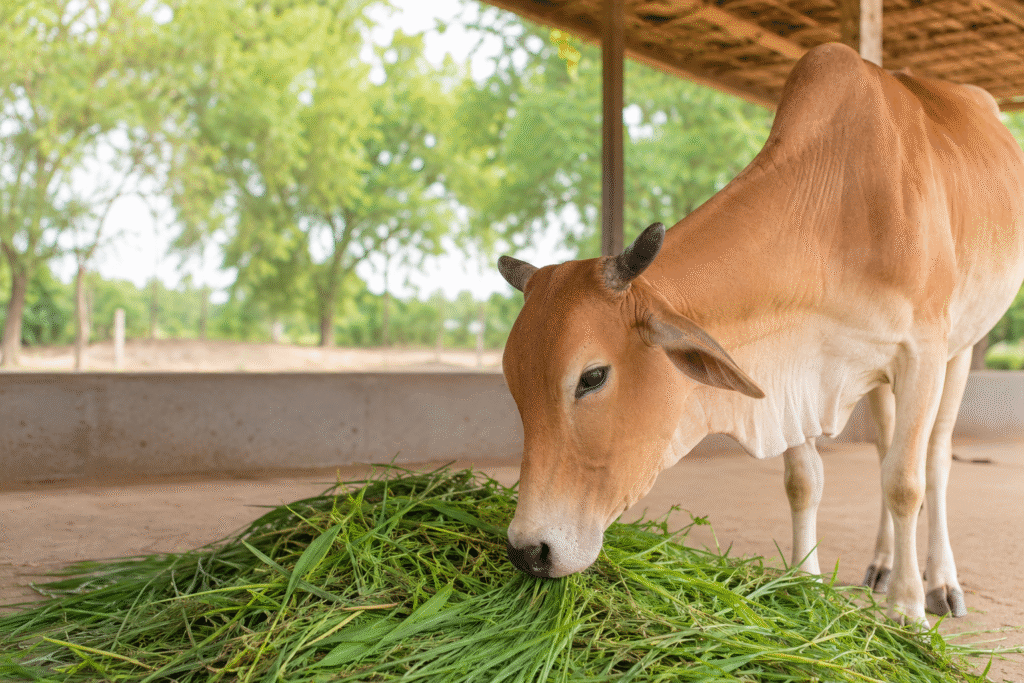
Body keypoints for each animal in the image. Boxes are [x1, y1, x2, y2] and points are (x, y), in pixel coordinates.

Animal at [496, 42, 1024, 625]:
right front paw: (804, 585)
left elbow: (905, 482)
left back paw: (939, 583)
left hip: (960, 348)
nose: (528, 550)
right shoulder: (797, 368)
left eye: (591, 377)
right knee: (887, 447)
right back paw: (882, 566)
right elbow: (804, 481)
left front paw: (906, 610)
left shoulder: (922, 350)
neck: (838, 211)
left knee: (933, 460)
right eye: (514, 383)